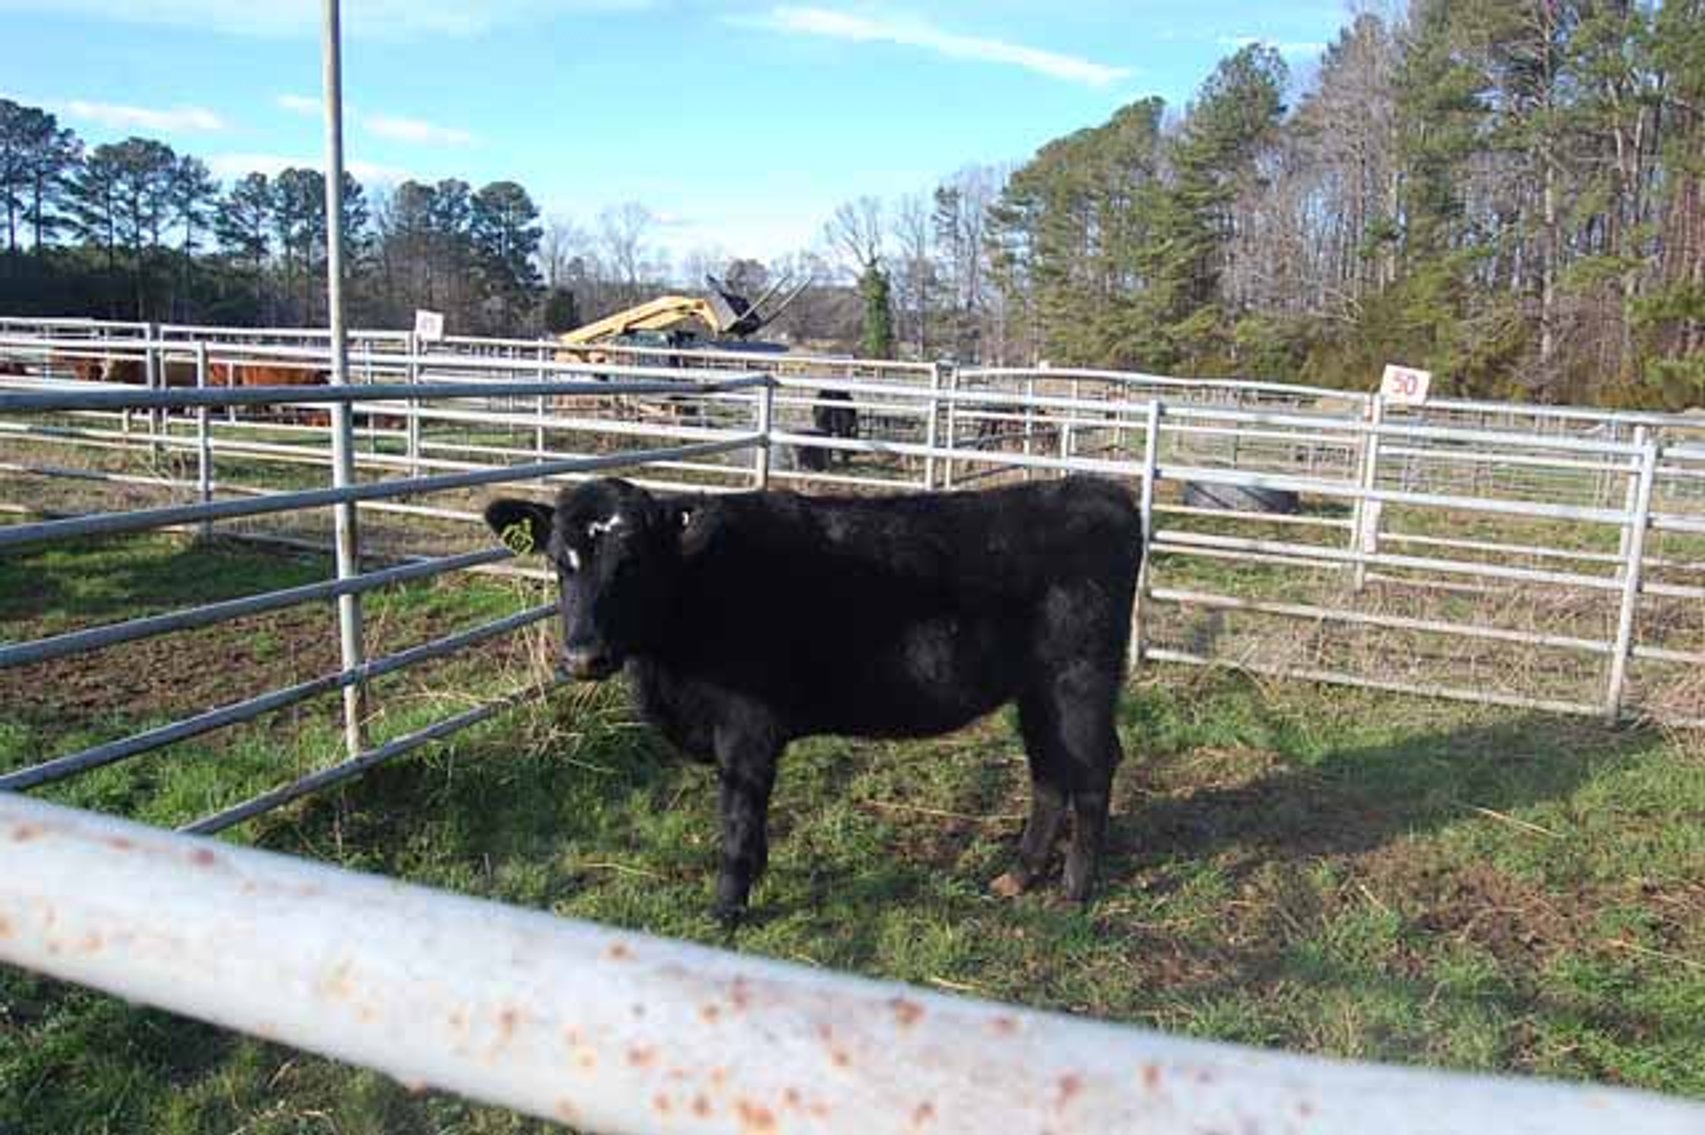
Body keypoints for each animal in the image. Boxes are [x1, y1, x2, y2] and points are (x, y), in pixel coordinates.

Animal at [484, 475, 1143, 925]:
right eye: (559, 562)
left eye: (633, 562)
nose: (583, 656)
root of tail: (1098, 490)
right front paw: (755, 877)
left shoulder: (747, 731)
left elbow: (737, 817)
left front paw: (727, 909)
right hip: (1037, 693)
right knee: (1049, 773)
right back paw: (1018, 876)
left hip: (1078, 682)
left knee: (1091, 771)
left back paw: (1073, 891)